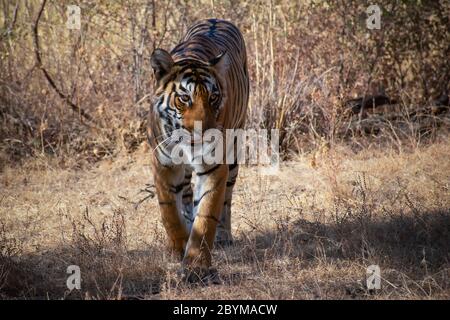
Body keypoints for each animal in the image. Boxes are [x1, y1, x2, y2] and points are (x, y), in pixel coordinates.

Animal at [148, 18, 248, 282]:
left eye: (213, 98)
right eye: (184, 98)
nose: (205, 132)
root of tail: (216, 19)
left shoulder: (214, 166)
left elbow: (206, 215)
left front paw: (196, 266)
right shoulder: (163, 164)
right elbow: (169, 212)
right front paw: (178, 247)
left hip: (234, 151)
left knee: (227, 199)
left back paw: (224, 236)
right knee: (185, 193)